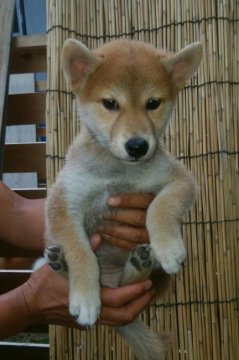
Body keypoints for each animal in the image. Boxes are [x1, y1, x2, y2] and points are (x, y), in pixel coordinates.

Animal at [43, 38, 202, 358]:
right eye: (110, 104)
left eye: (152, 103)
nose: (138, 146)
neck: (118, 171)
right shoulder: (63, 202)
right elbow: (81, 252)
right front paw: (85, 296)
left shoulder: (180, 179)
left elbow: (160, 207)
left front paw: (167, 247)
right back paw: (61, 264)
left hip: (145, 280)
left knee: (129, 284)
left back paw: (140, 263)